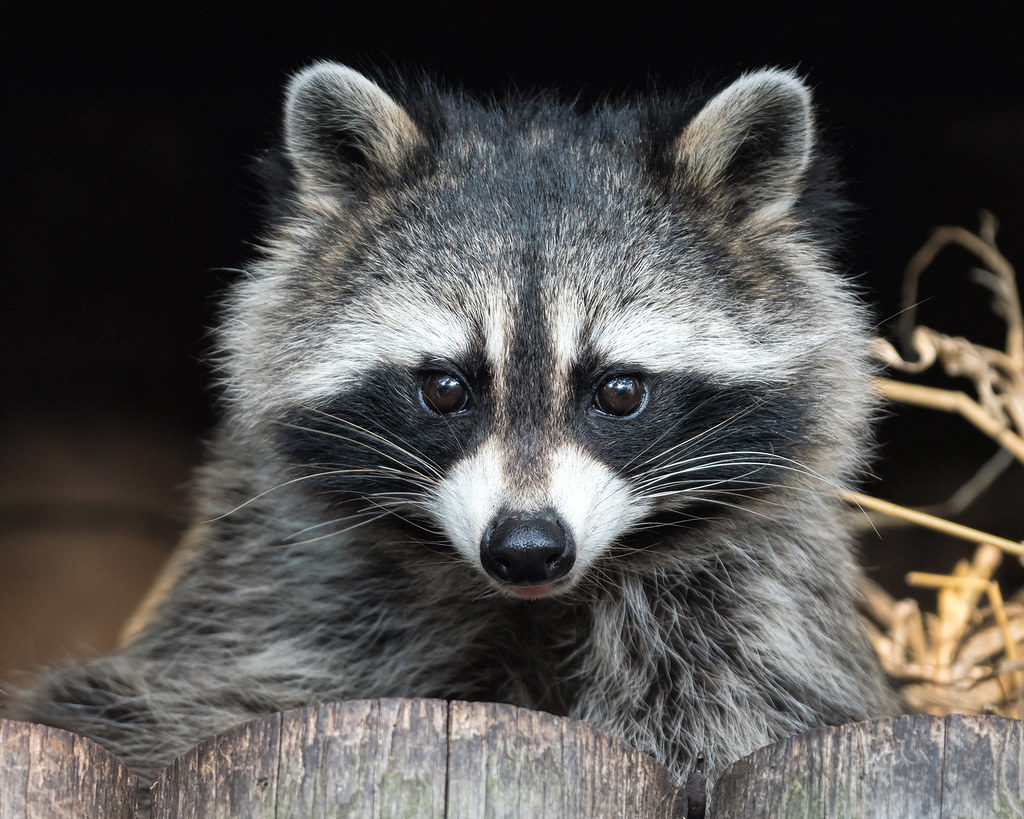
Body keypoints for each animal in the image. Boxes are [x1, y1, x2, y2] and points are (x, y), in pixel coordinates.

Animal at [8, 63, 897, 789]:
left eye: (618, 392)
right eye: (444, 388)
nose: (528, 547)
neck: (535, 604)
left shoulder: (754, 603)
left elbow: (733, 705)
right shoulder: (280, 586)